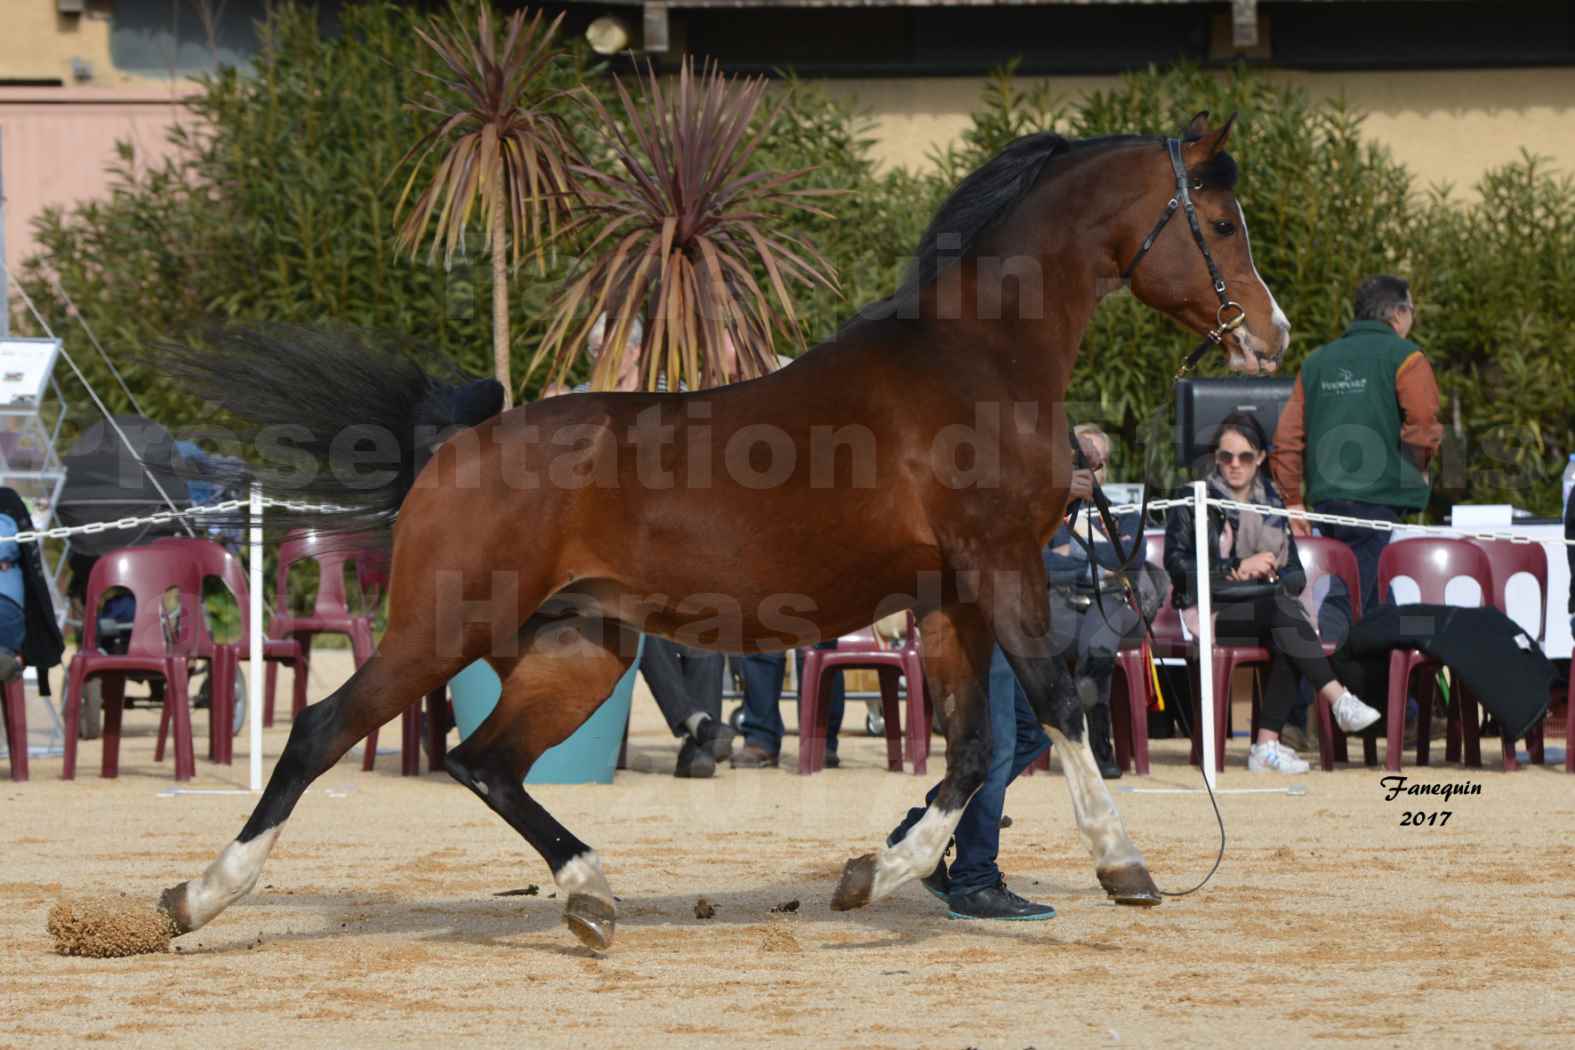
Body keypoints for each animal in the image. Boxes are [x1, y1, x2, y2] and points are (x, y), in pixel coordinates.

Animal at [148, 113, 1285, 950]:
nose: (1269, 335)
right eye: (1222, 222)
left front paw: (872, 873)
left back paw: (591, 894)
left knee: (485, 762)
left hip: (581, 649)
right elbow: (1055, 705)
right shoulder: (1001, 568)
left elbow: (971, 750)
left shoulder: (951, 594)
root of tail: (452, 444)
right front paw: (1124, 865)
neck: (974, 359)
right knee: (320, 732)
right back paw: (195, 898)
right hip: (445, 628)